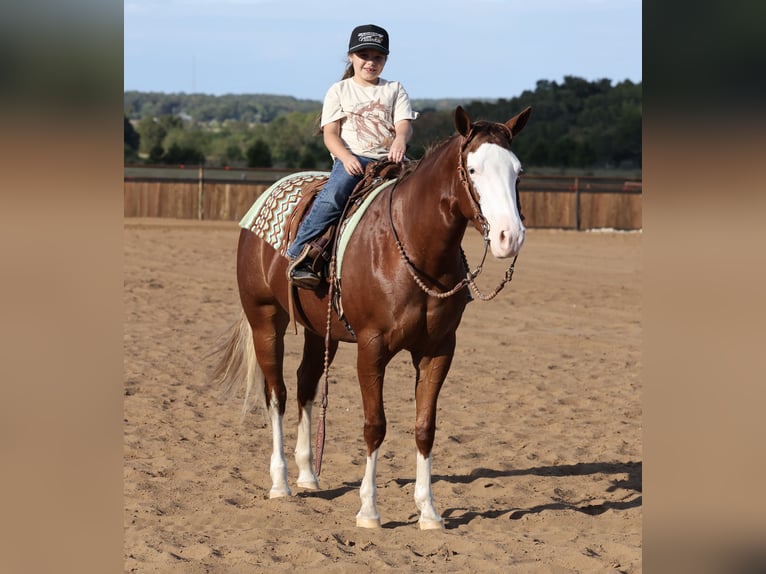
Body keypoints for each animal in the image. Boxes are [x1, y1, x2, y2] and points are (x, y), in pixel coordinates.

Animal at [211, 105, 531, 529]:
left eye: (518, 170)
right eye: (474, 169)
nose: (510, 236)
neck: (413, 245)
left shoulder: (439, 350)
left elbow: (425, 427)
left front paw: (429, 511)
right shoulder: (372, 347)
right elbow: (375, 425)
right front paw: (368, 510)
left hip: (320, 332)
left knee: (305, 385)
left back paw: (308, 474)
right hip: (265, 318)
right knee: (276, 393)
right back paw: (280, 482)